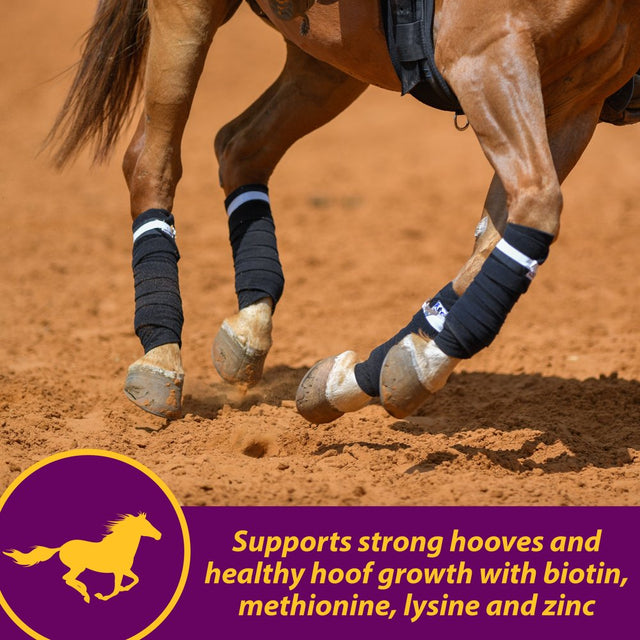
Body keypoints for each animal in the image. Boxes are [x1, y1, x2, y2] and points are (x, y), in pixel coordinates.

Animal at [3, 513, 161, 603]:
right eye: (146, 525)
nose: (159, 535)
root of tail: (61, 547)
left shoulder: (125, 570)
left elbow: (136, 579)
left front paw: (124, 589)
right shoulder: (117, 571)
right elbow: (116, 588)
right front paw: (103, 596)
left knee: (68, 579)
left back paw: (85, 591)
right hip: (78, 567)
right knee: (67, 578)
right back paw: (86, 593)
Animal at [45, 0, 640, 422]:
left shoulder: (576, 99)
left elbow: (495, 239)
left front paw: (362, 377)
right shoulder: (486, 55)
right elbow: (535, 210)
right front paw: (403, 368)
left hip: (331, 55)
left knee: (241, 145)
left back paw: (249, 327)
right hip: (192, 16)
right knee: (152, 162)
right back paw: (160, 357)